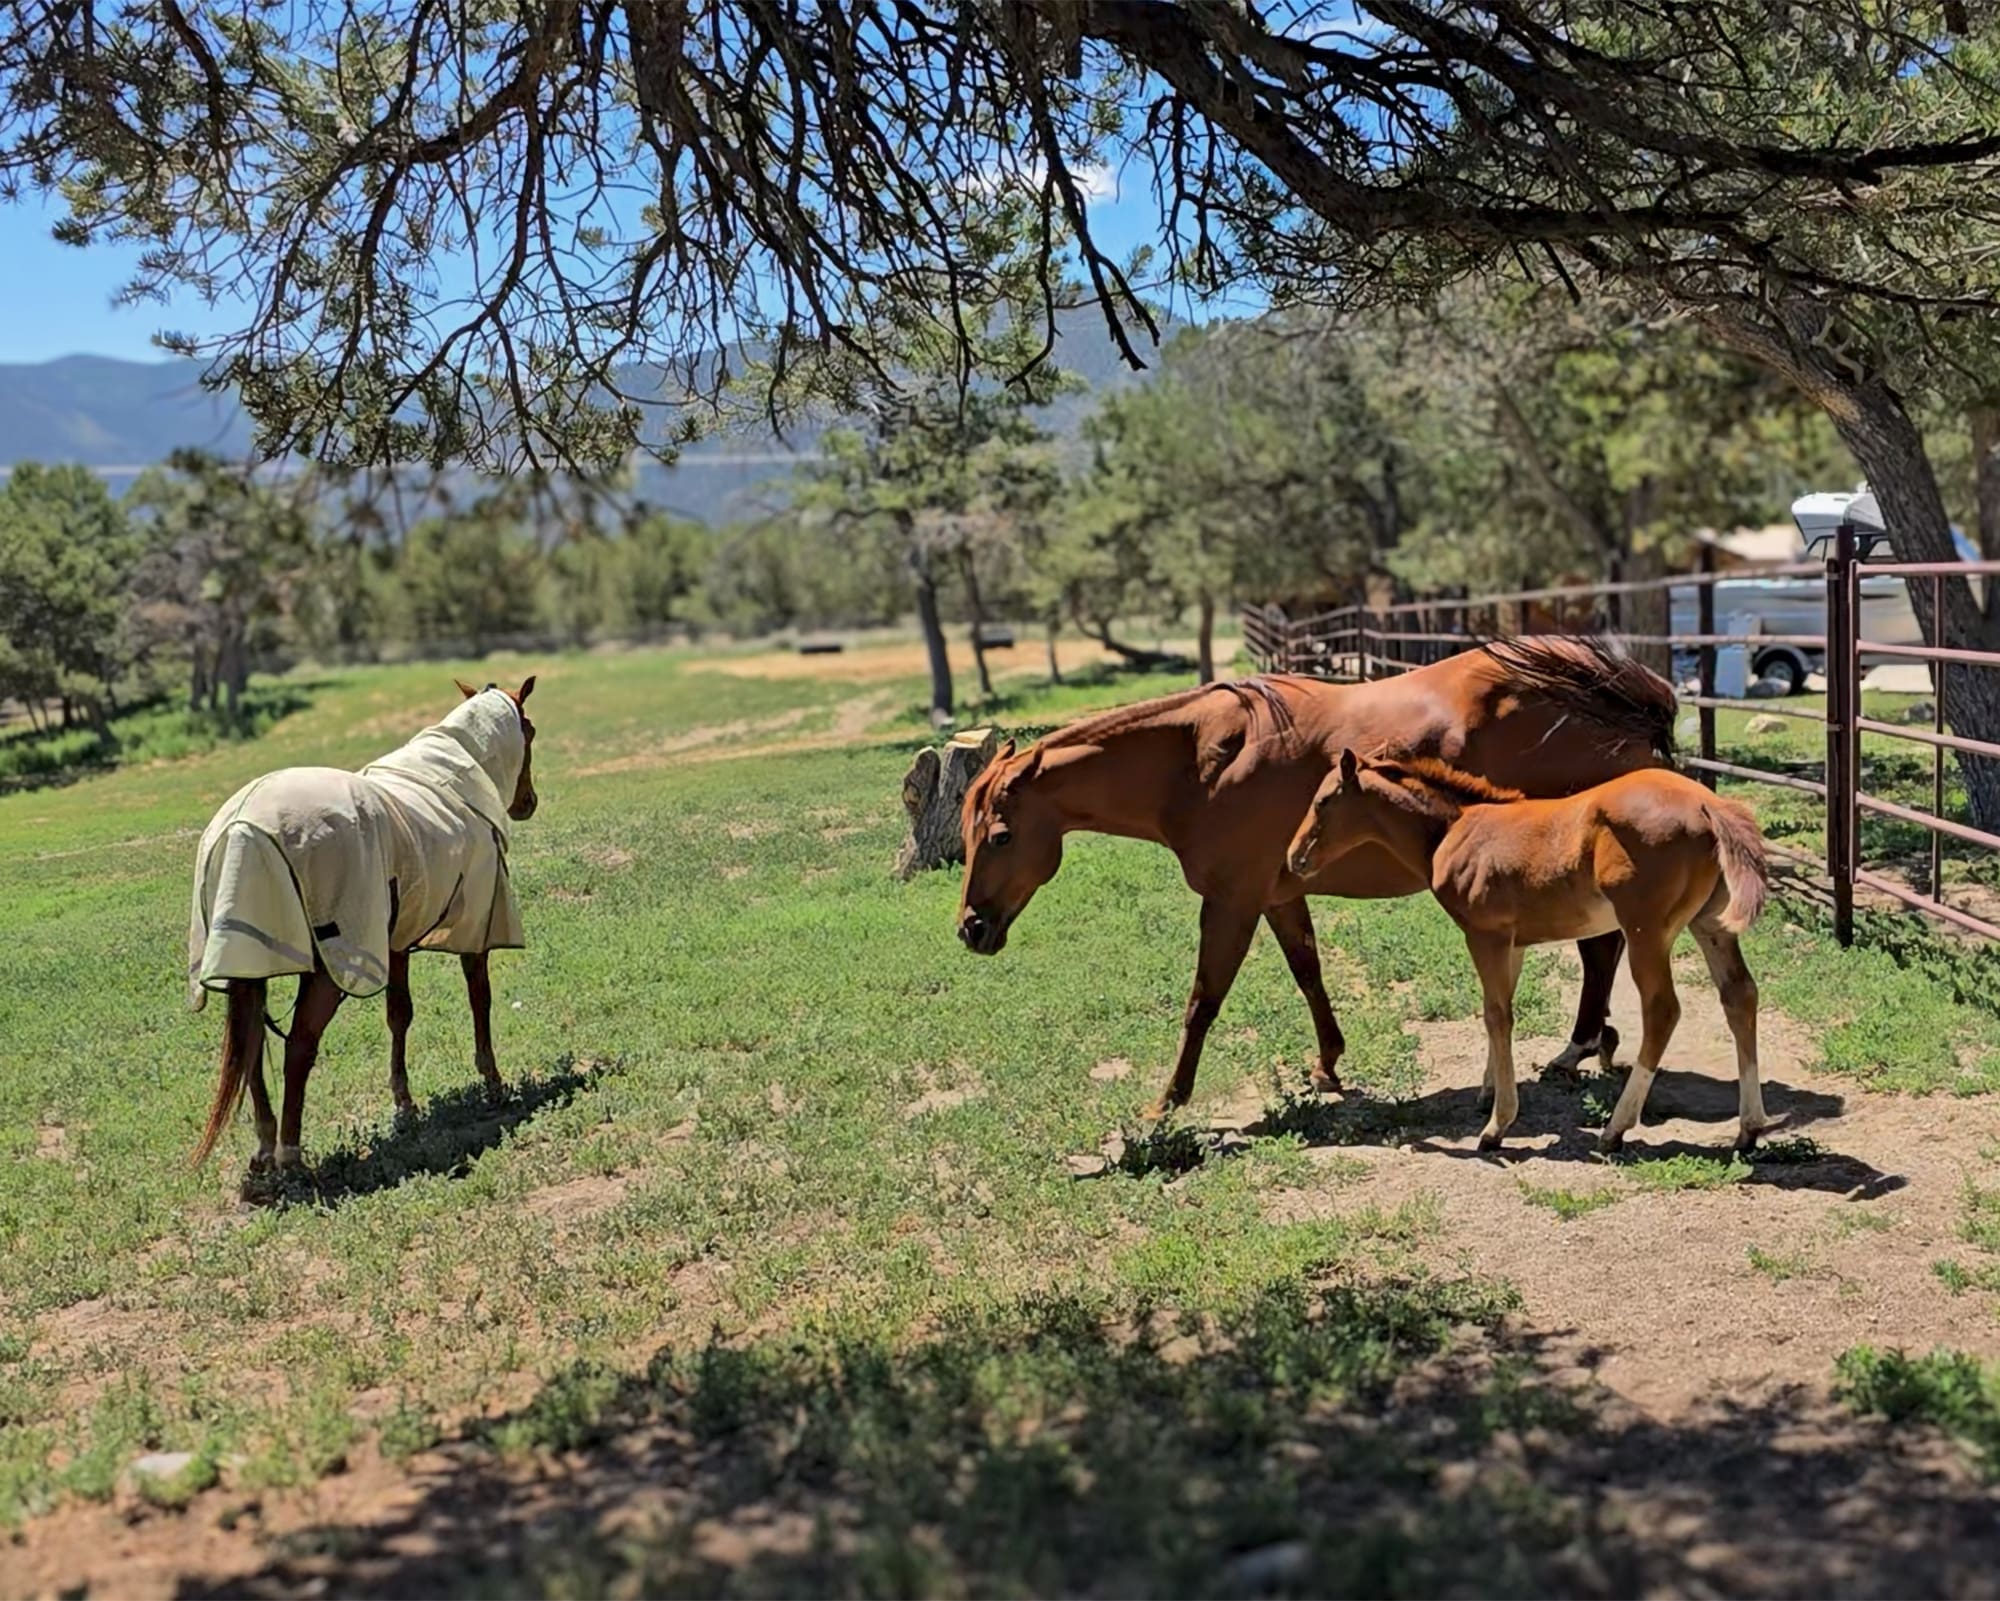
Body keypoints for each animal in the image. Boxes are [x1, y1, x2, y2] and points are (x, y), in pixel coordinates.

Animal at [181, 676, 536, 1184]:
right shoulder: (476, 928)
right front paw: (492, 1082)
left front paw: (405, 1106)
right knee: (299, 1048)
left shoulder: (396, 941)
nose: (528, 803)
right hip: (329, 968)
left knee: (250, 1051)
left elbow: (399, 1014)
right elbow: (479, 1000)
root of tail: (242, 828)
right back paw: (290, 1155)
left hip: (251, 962)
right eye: (530, 732)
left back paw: (266, 1149)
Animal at [960, 636, 1680, 1112]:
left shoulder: (1231, 902)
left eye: (1000, 836)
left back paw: (1579, 1047)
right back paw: (1590, 1045)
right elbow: (1309, 974)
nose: (971, 928)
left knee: (1600, 950)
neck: (1200, 761)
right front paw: (1328, 1065)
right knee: (1601, 951)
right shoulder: (1277, 895)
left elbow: (1202, 1000)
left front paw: (1167, 1101)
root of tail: (1623, 694)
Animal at [1280, 752, 1768, 1152]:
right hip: (1709, 925)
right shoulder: (1511, 943)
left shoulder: (1485, 936)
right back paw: (1749, 1129)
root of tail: (1709, 803)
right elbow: (1500, 1009)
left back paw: (1615, 1129)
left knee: (1662, 1010)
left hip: (1646, 931)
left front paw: (1497, 1126)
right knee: (1740, 995)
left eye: (1323, 802)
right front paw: (1487, 1092)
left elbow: (1496, 1015)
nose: (1293, 858)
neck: (1455, 829)